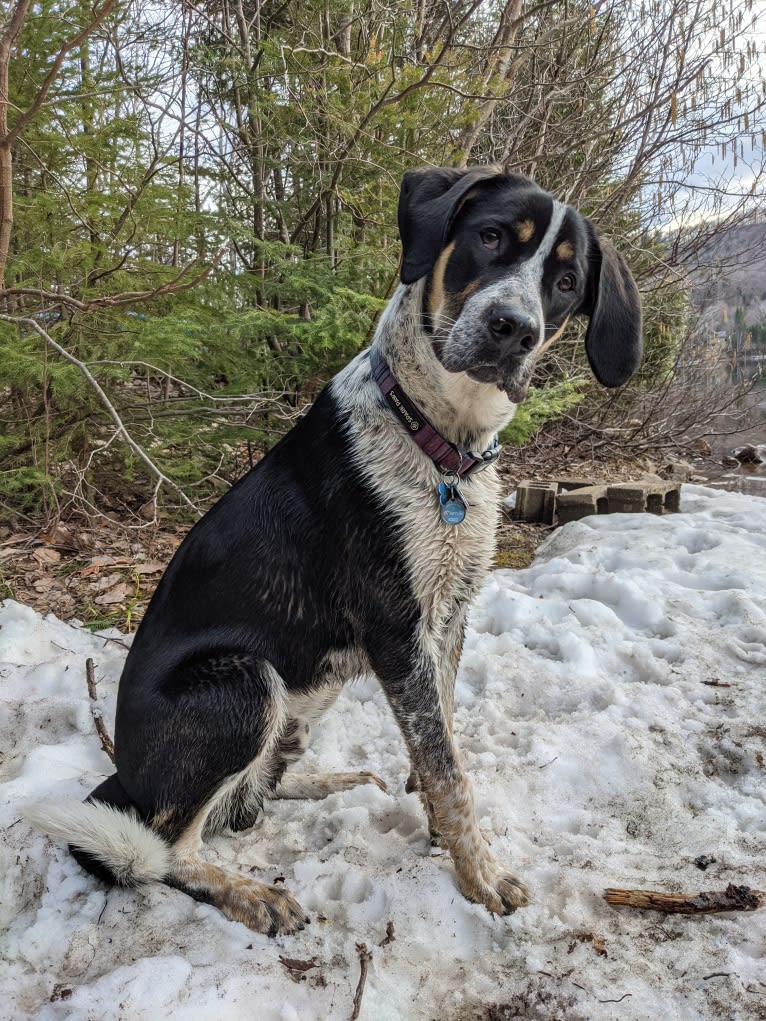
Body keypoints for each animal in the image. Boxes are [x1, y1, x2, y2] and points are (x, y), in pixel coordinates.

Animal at [27, 165, 641, 935]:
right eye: (491, 236)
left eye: (565, 283)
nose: (514, 330)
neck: (440, 445)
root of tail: (124, 780)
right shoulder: (397, 630)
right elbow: (449, 770)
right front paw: (481, 877)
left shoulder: (450, 618)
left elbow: (440, 746)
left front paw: (443, 836)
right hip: (244, 682)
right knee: (169, 847)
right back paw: (249, 892)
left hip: (297, 702)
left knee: (246, 800)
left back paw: (331, 778)